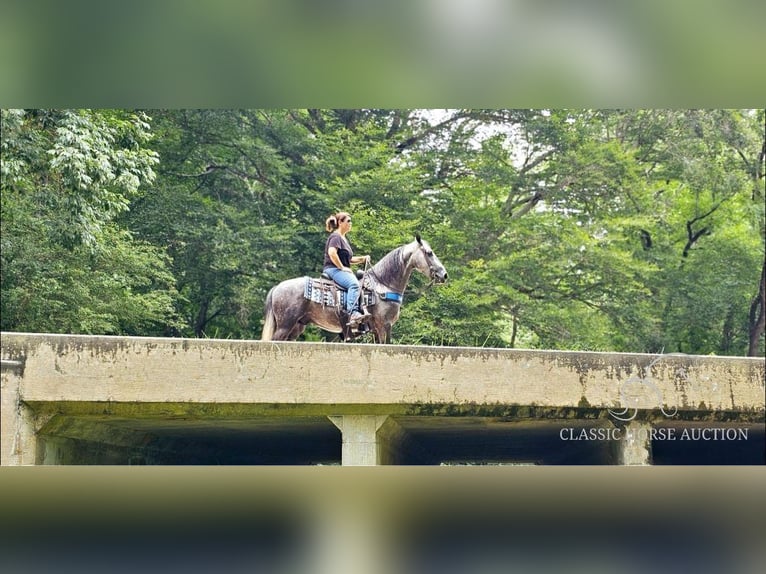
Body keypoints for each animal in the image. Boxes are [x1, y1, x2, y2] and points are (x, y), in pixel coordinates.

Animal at [260, 236, 448, 344]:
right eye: (429, 253)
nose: (444, 274)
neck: (382, 285)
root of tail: (277, 287)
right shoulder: (385, 325)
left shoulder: (377, 330)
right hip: (285, 325)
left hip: (296, 327)